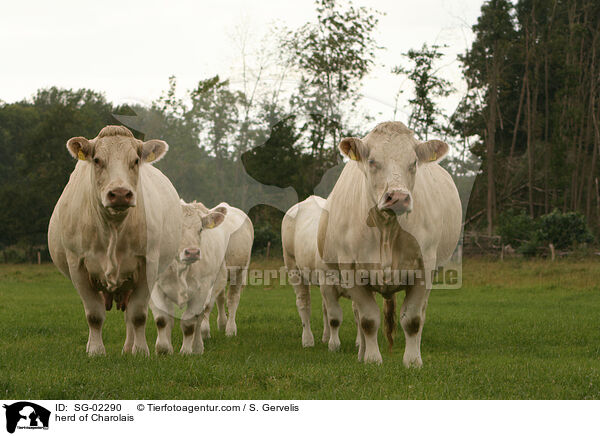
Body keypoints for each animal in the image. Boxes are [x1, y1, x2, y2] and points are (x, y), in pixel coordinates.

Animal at [47, 124, 180, 356]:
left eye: (135, 160)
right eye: (97, 160)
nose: (119, 193)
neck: (113, 229)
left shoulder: (148, 264)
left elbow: (138, 314)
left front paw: (140, 351)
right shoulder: (77, 265)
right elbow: (94, 315)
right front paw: (95, 351)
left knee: (130, 316)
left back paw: (130, 348)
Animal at [150, 201, 230, 354]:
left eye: (200, 229)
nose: (192, 252)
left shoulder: (202, 289)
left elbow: (189, 323)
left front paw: (186, 351)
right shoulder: (156, 287)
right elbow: (162, 319)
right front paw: (163, 350)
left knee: (199, 318)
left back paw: (197, 346)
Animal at [316, 121, 462, 366]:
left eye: (413, 163)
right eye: (372, 161)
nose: (398, 198)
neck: (387, 229)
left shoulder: (424, 268)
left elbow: (413, 319)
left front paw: (413, 361)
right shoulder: (352, 270)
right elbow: (367, 320)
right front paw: (372, 359)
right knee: (359, 316)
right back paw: (362, 352)